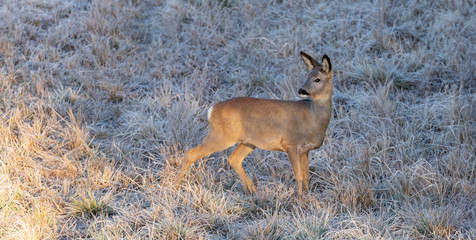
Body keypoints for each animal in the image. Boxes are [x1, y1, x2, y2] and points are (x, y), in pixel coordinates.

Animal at [173, 51, 332, 194]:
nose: (301, 90)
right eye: (307, 76)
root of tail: (212, 110)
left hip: (248, 142)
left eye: (317, 79)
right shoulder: (291, 144)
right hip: (221, 136)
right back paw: (174, 187)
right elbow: (298, 175)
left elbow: (306, 174)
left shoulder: (305, 149)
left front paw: (307, 195)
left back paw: (253, 190)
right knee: (191, 153)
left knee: (234, 159)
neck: (312, 118)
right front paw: (300, 199)